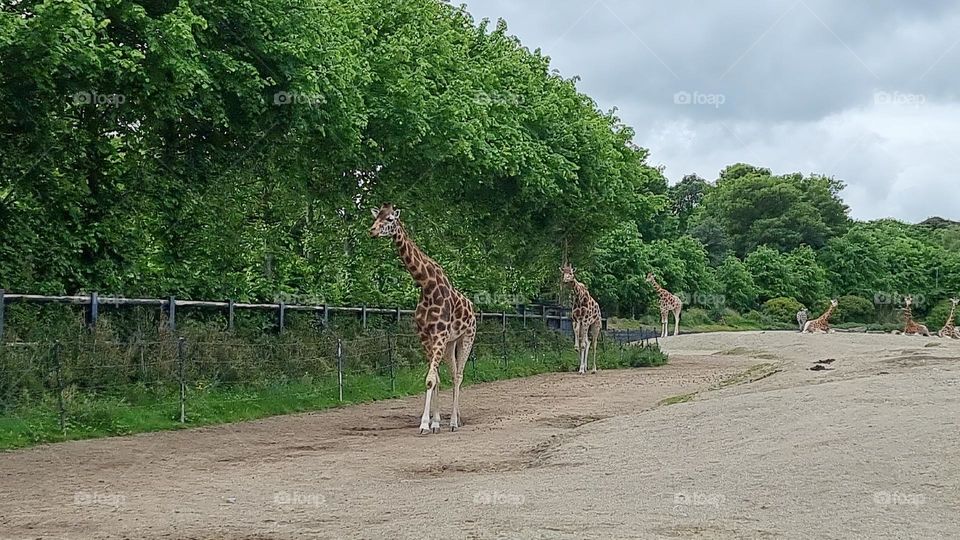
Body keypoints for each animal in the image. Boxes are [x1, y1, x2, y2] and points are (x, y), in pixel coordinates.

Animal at [368, 202, 476, 434]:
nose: (372, 231)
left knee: (459, 376)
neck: (427, 285)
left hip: (467, 338)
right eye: (376, 216)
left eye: (390, 219)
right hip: (450, 343)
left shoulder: (439, 336)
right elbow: (435, 379)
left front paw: (425, 424)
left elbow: (430, 380)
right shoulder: (425, 337)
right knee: (452, 374)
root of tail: (472, 308)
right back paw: (453, 420)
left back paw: (454, 422)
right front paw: (434, 422)